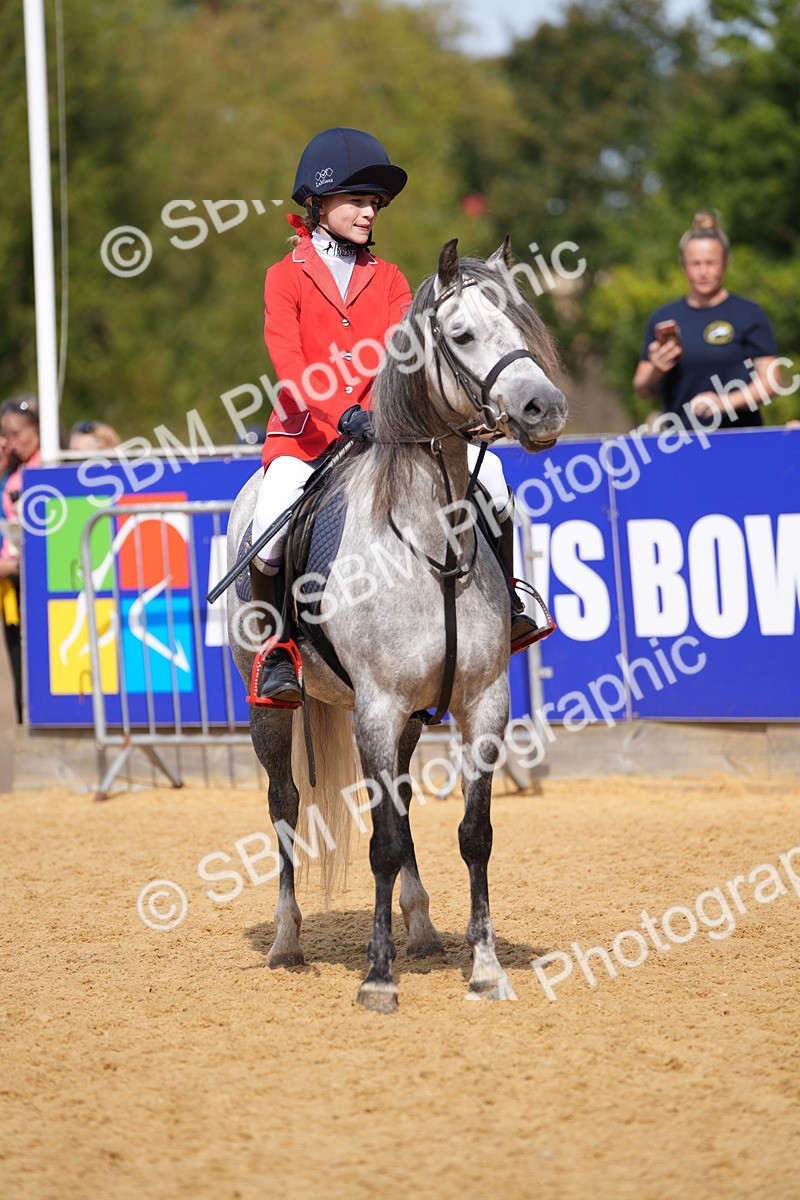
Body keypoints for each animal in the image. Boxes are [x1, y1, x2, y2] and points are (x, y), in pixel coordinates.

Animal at [226, 237, 568, 1012]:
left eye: (520, 322)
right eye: (462, 334)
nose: (545, 408)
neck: (429, 541)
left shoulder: (482, 704)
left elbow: (474, 834)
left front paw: (485, 969)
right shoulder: (376, 708)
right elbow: (378, 841)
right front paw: (378, 980)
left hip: (413, 716)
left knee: (403, 801)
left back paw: (421, 927)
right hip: (271, 708)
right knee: (285, 804)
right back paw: (287, 941)